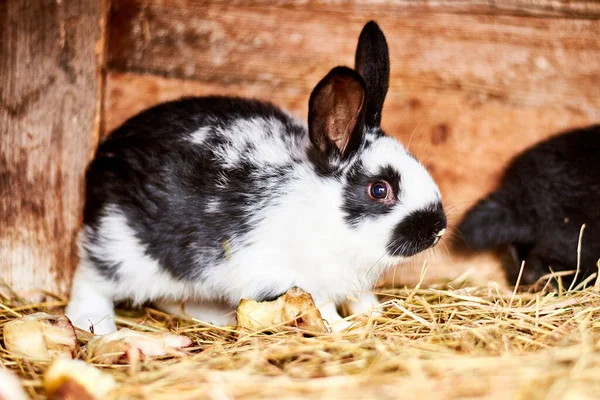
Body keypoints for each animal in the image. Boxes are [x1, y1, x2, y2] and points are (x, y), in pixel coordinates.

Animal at [67, 22, 446, 334]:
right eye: (379, 189)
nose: (437, 228)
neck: (322, 213)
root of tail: (103, 157)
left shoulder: (353, 281)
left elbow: (361, 300)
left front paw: (374, 316)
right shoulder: (294, 278)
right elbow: (323, 310)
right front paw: (344, 330)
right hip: (121, 247)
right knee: (91, 279)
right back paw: (93, 324)